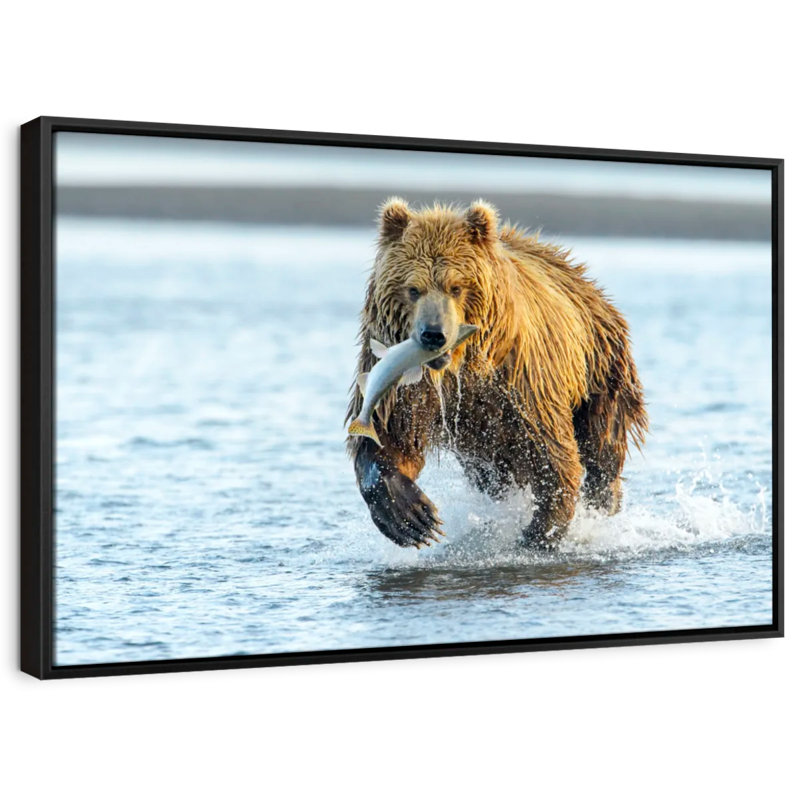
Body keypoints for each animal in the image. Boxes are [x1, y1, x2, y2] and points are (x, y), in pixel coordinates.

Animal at [346, 198, 647, 549]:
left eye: (456, 286)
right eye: (413, 288)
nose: (433, 334)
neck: (459, 369)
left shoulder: (522, 382)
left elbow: (552, 453)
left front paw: (539, 533)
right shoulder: (404, 388)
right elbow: (391, 439)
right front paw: (412, 517)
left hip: (600, 366)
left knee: (603, 442)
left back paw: (603, 500)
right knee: (491, 474)